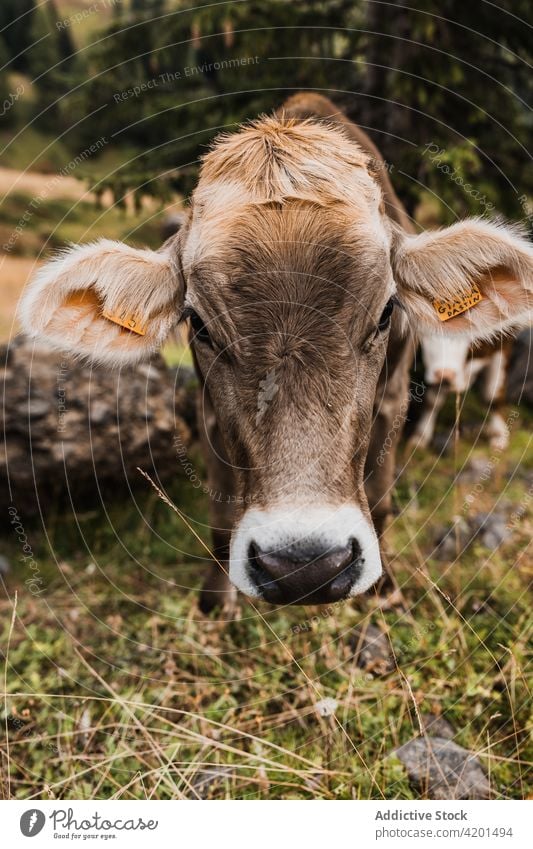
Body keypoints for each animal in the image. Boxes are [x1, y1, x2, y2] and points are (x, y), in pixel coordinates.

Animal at [19, 93, 532, 608]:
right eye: (198, 323)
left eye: (387, 311)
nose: (306, 567)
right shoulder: (208, 409)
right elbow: (221, 517)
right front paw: (216, 600)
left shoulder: (394, 399)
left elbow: (382, 496)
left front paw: (384, 591)